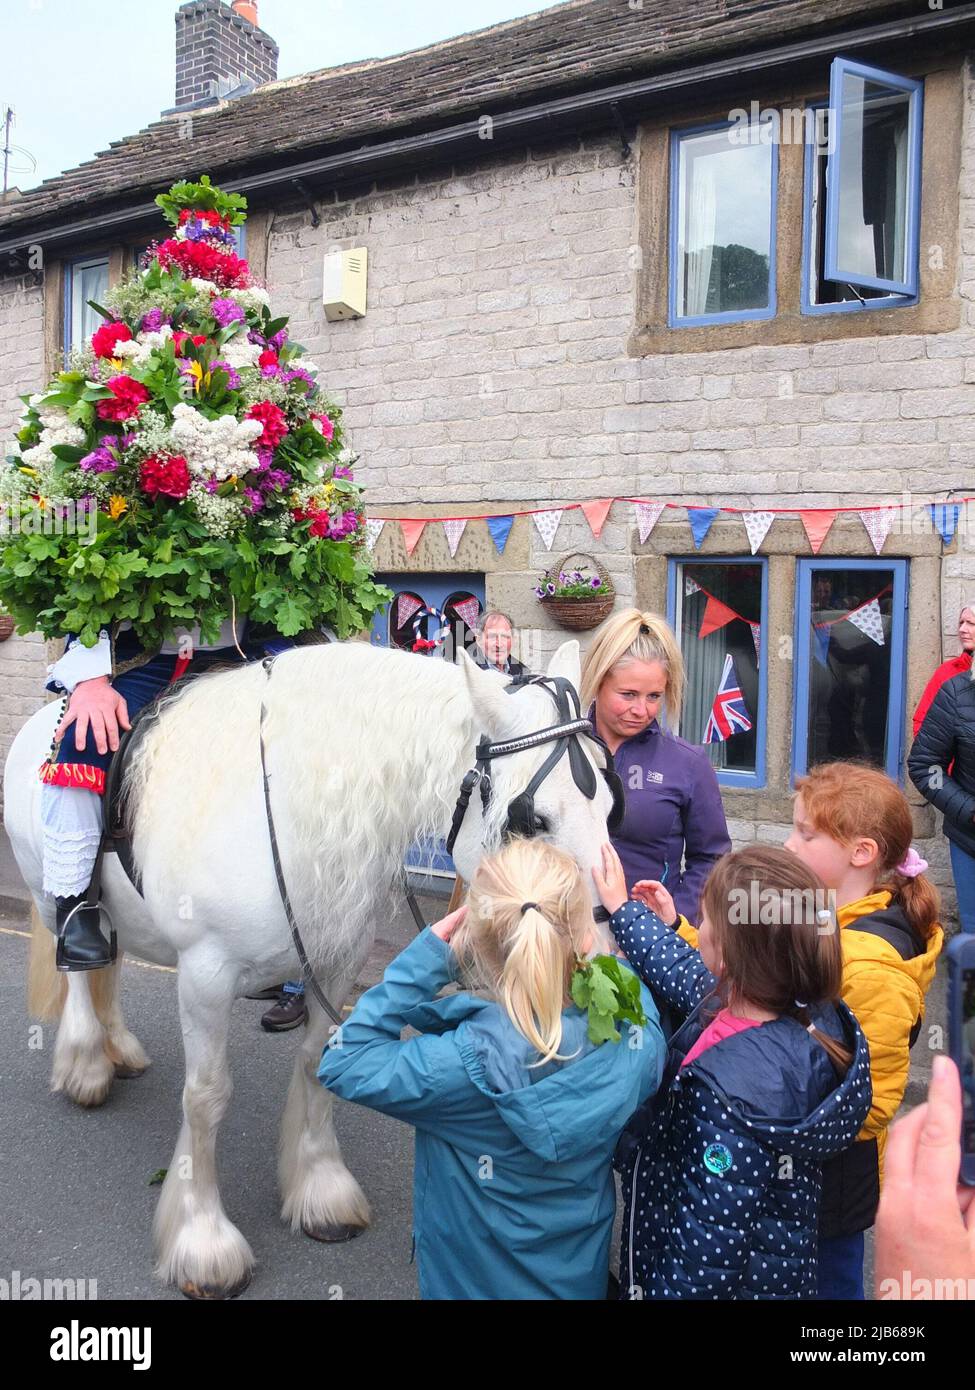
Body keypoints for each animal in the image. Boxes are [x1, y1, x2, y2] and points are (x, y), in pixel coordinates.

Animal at [5, 636, 614, 1289]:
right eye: (534, 820)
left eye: (611, 803)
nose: (598, 953)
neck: (285, 805)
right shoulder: (205, 975)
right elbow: (206, 1095)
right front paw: (202, 1240)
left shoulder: (337, 961)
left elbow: (318, 1065)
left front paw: (320, 1190)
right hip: (49, 893)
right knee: (79, 965)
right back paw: (86, 1062)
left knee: (112, 964)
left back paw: (118, 1047)